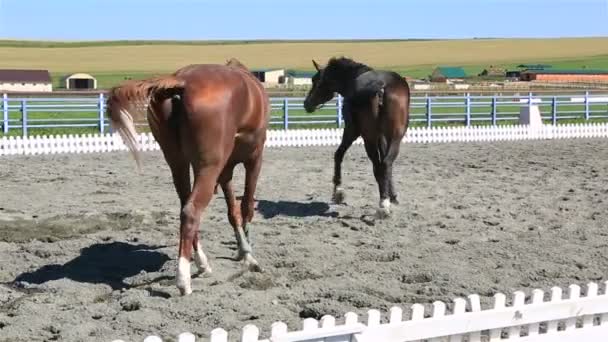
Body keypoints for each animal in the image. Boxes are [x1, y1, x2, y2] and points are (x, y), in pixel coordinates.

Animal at [105, 58, 270, 294]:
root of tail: (181, 82)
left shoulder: (225, 171)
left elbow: (233, 211)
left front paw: (242, 250)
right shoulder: (254, 160)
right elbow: (246, 207)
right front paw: (248, 256)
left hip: (179, 164)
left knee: (185, 208)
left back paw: (202, 263)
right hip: (208, 168)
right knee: (192, 211)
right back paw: (184, 280)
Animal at [302, 55, 410, 216]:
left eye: (315, 80)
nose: (306, 103)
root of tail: (382, 87)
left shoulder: (351, 131)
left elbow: (338, 155)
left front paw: (338, 192)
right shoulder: (382, 136)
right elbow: (386, 165)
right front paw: (393, 196)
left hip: (367, 137)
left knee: (378, 165)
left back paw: (383, 204)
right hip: (395, 136)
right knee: (386, 163)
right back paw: (386, 201)